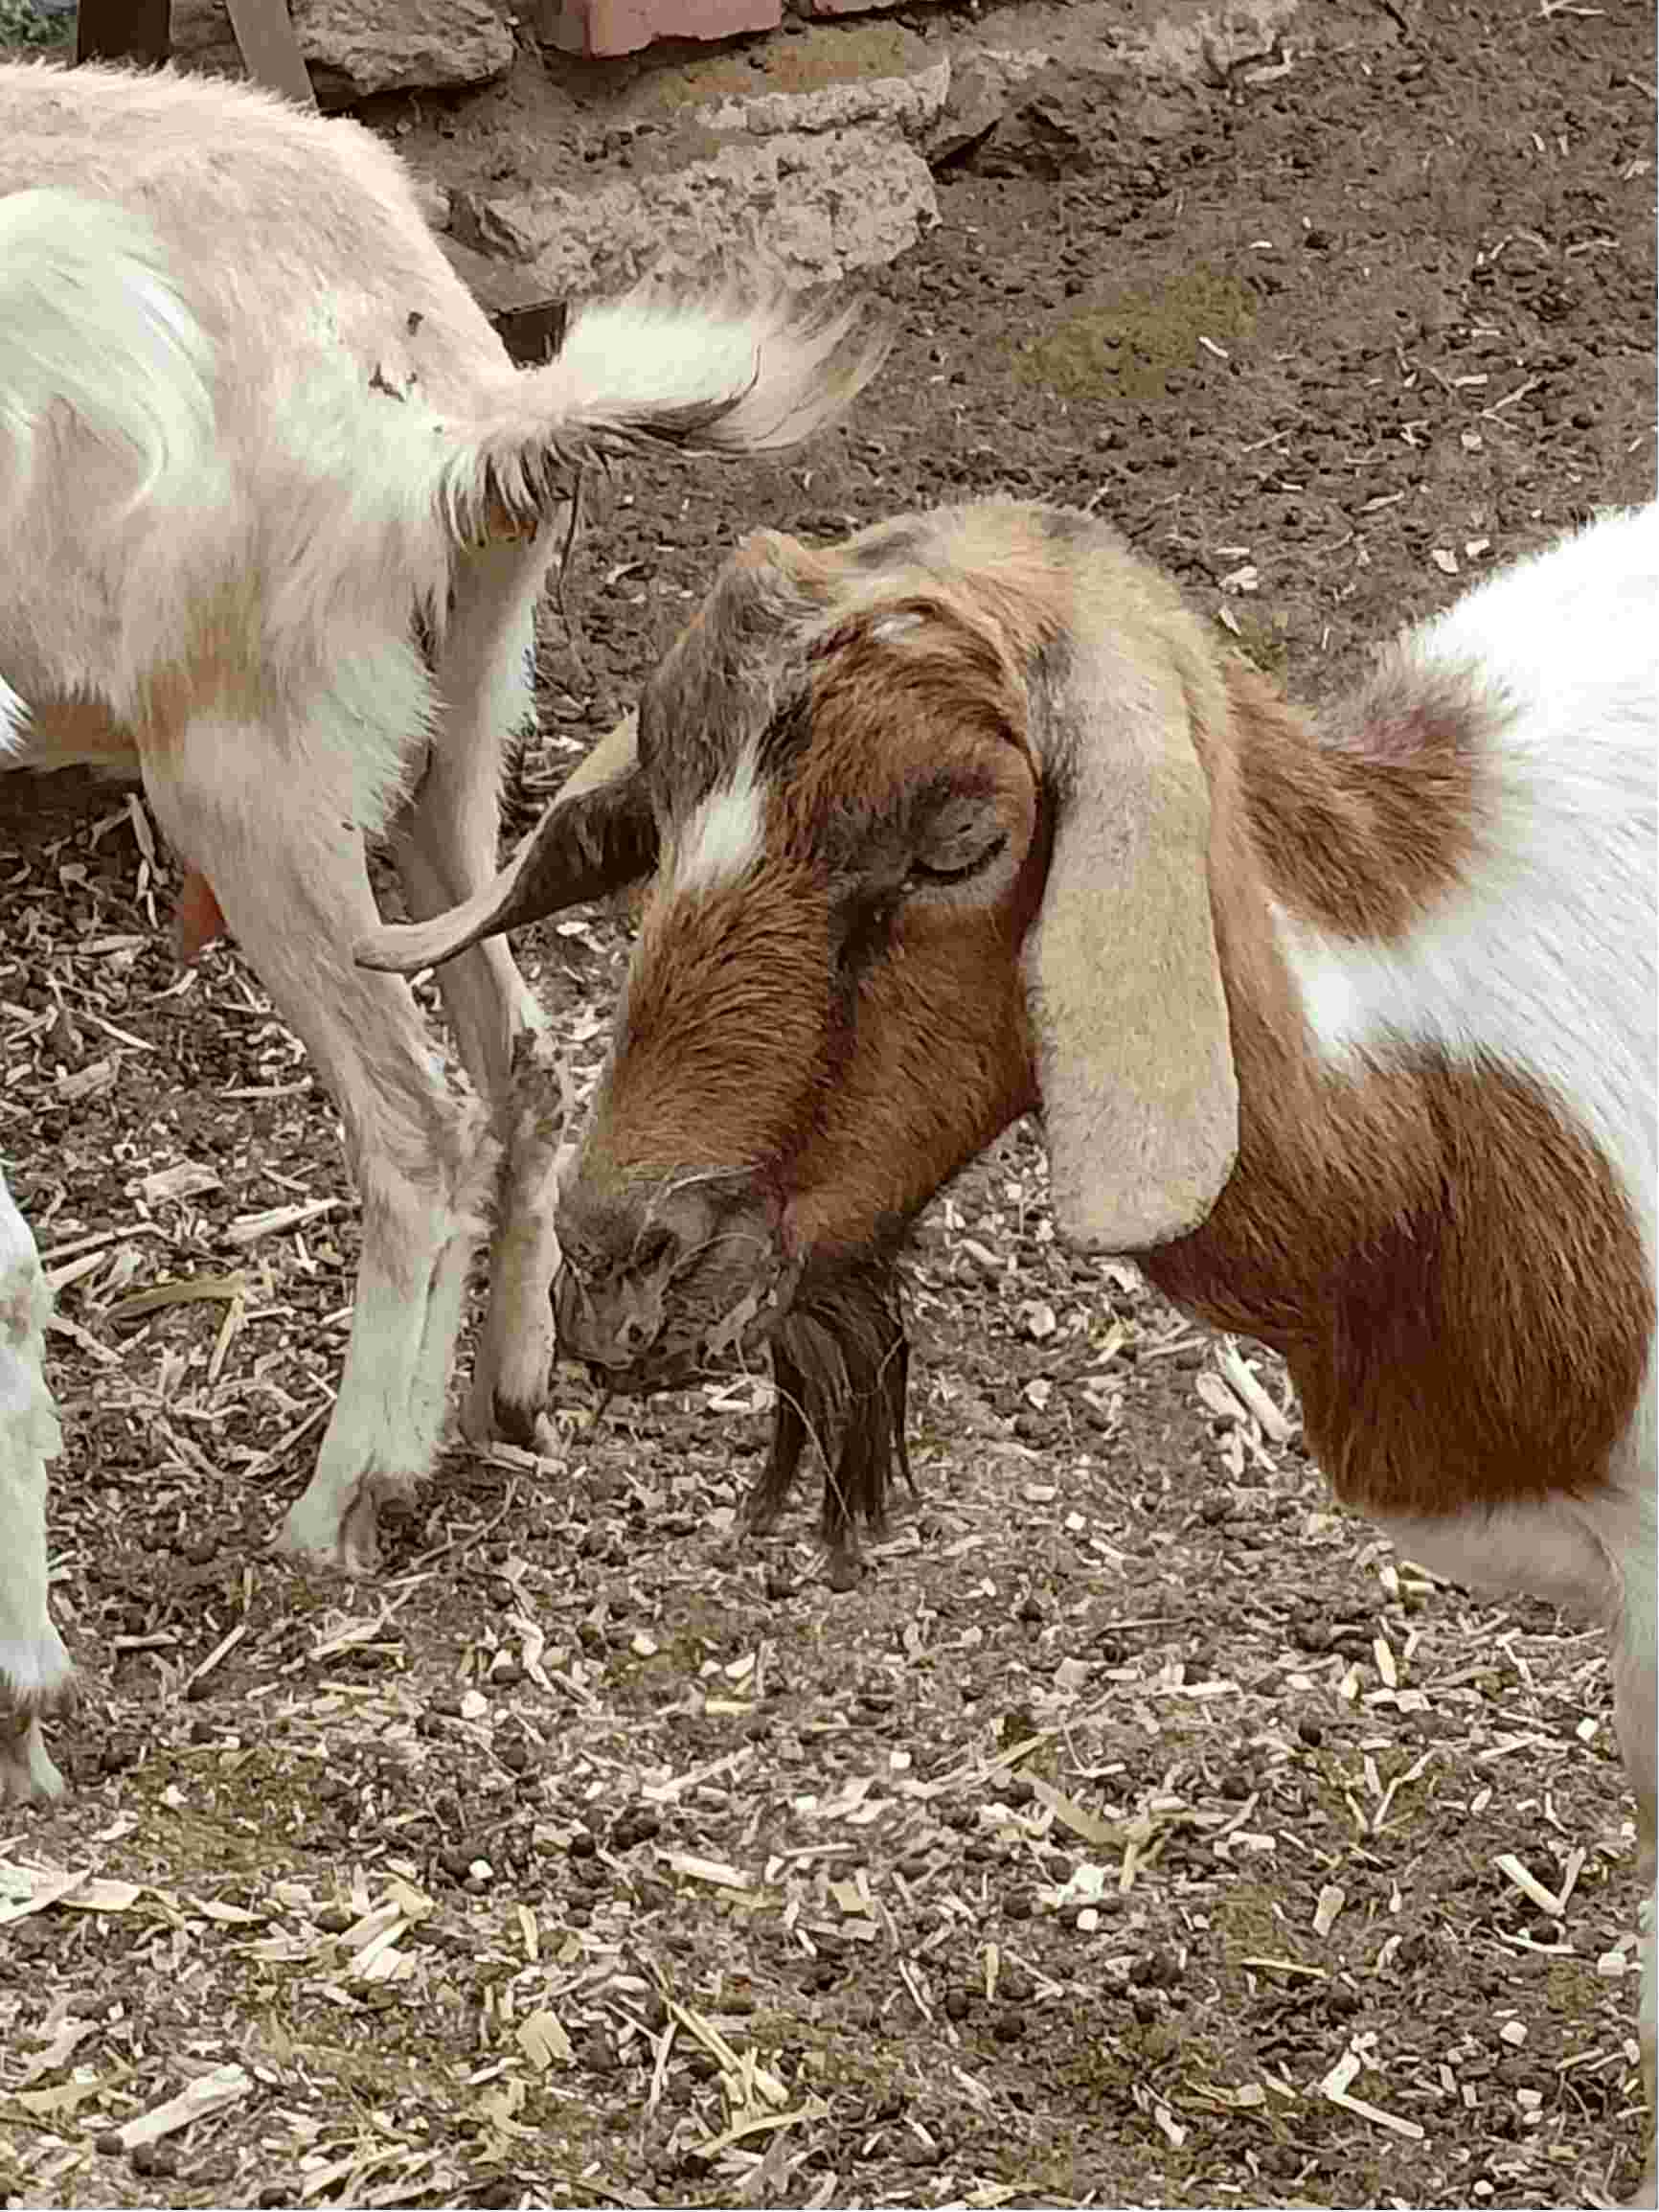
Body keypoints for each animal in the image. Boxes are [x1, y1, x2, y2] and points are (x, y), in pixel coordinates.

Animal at [0, 60, 889, 1805]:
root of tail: (462, 404)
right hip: (453, 748)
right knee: (526, 1058)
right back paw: (509, 1399)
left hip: (254, 779)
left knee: (417, 1117)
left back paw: (353, 1495)